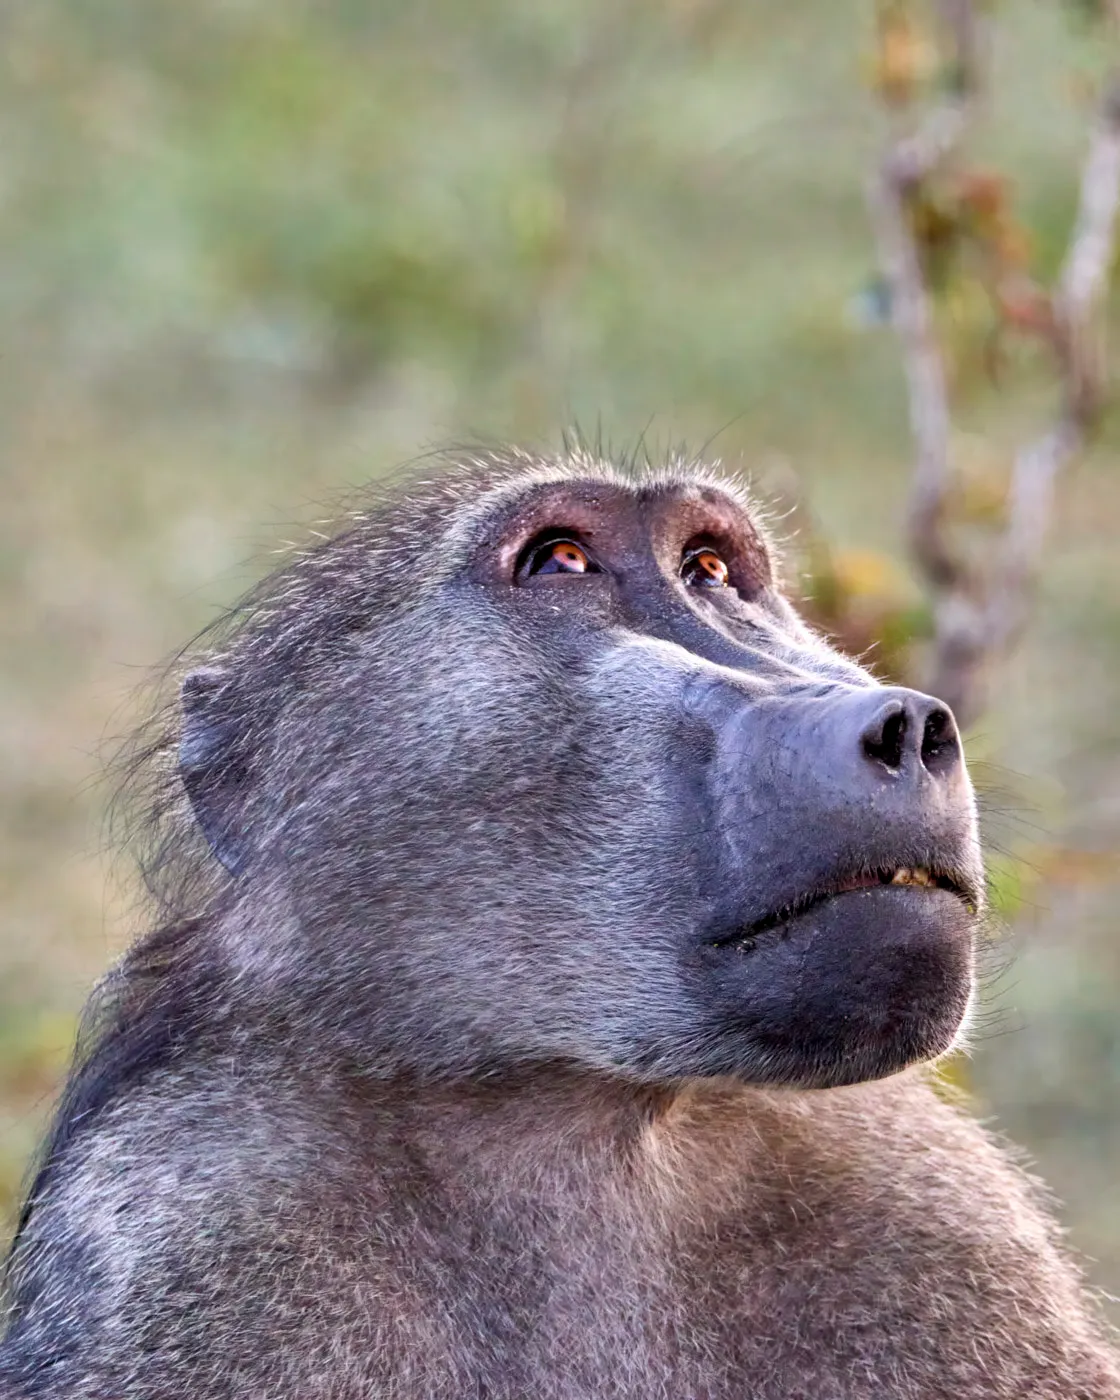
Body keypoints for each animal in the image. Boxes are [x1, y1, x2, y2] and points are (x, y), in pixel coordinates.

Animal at [1, 444, 1118, 1399]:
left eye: (710, 569)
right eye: (559, 561)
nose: (907, 726)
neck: (588, 1132)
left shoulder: (942, 1216)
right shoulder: (197, 1228)